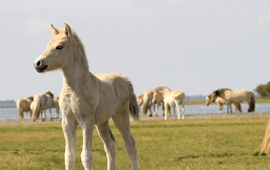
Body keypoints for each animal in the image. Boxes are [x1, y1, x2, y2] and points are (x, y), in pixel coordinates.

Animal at [33, 22, 139, 170]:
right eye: (48, 45)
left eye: (59, 46)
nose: (38, 63)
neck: (74, 89)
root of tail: (124, 79)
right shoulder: (67, 122)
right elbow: (69, 156)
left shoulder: (86, 121)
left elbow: (86, 156)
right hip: (102, 122)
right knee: (110, 144)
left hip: (121, 116)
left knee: (130, 144)